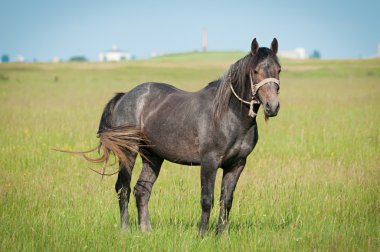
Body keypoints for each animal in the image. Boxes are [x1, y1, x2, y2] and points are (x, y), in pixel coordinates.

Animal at [74, 38, 280, 235]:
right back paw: (125, 230)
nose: (273, 106)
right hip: (128, 152)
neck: (228, 114)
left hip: (153, 156)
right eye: (255, 71)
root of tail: (124, 97)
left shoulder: (236, 165)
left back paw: (146, 230)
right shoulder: (209, 162)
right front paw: (202, 234)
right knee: (123, 188)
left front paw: (221, 235)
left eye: (279, 69)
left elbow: (226, 201)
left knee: (142, 190)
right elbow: (207, 199)